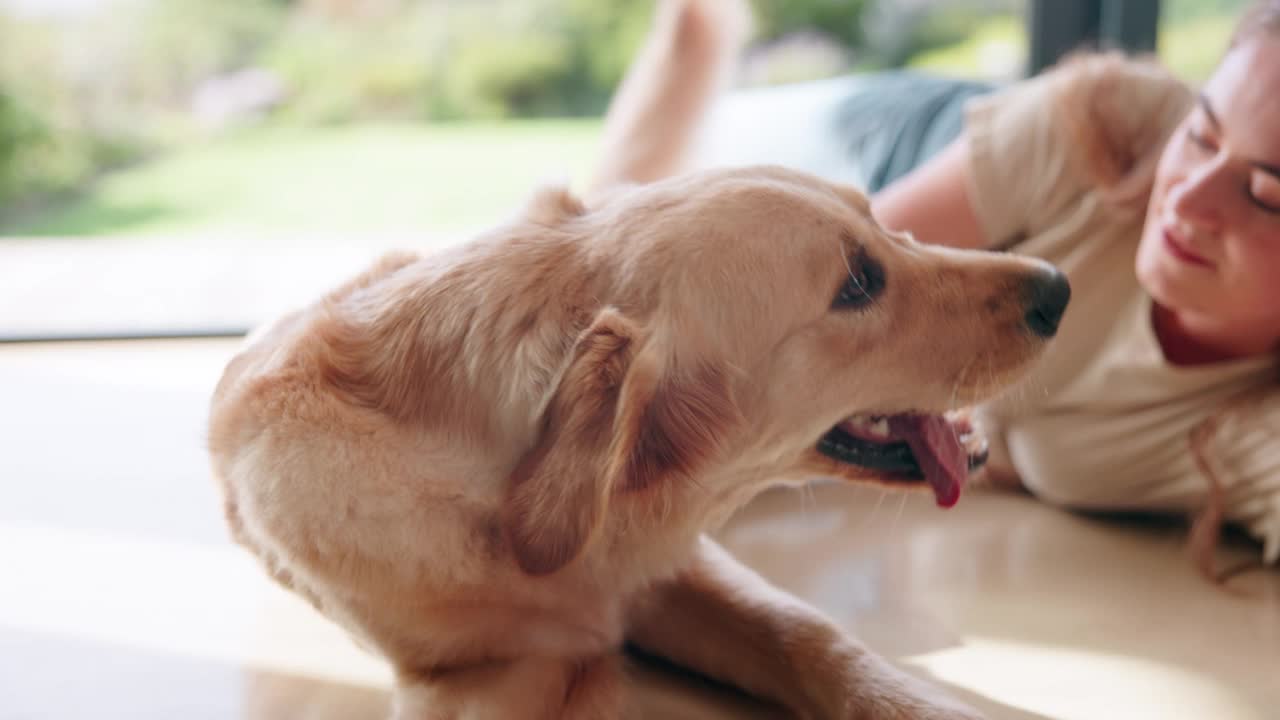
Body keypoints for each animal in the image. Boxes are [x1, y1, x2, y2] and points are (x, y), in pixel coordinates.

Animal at [209, 1, 1070, 712]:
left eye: (881, 222)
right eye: (857, 284)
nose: (1058, 290)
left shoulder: (679, 570)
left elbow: (806, 633)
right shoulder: (471, 674)